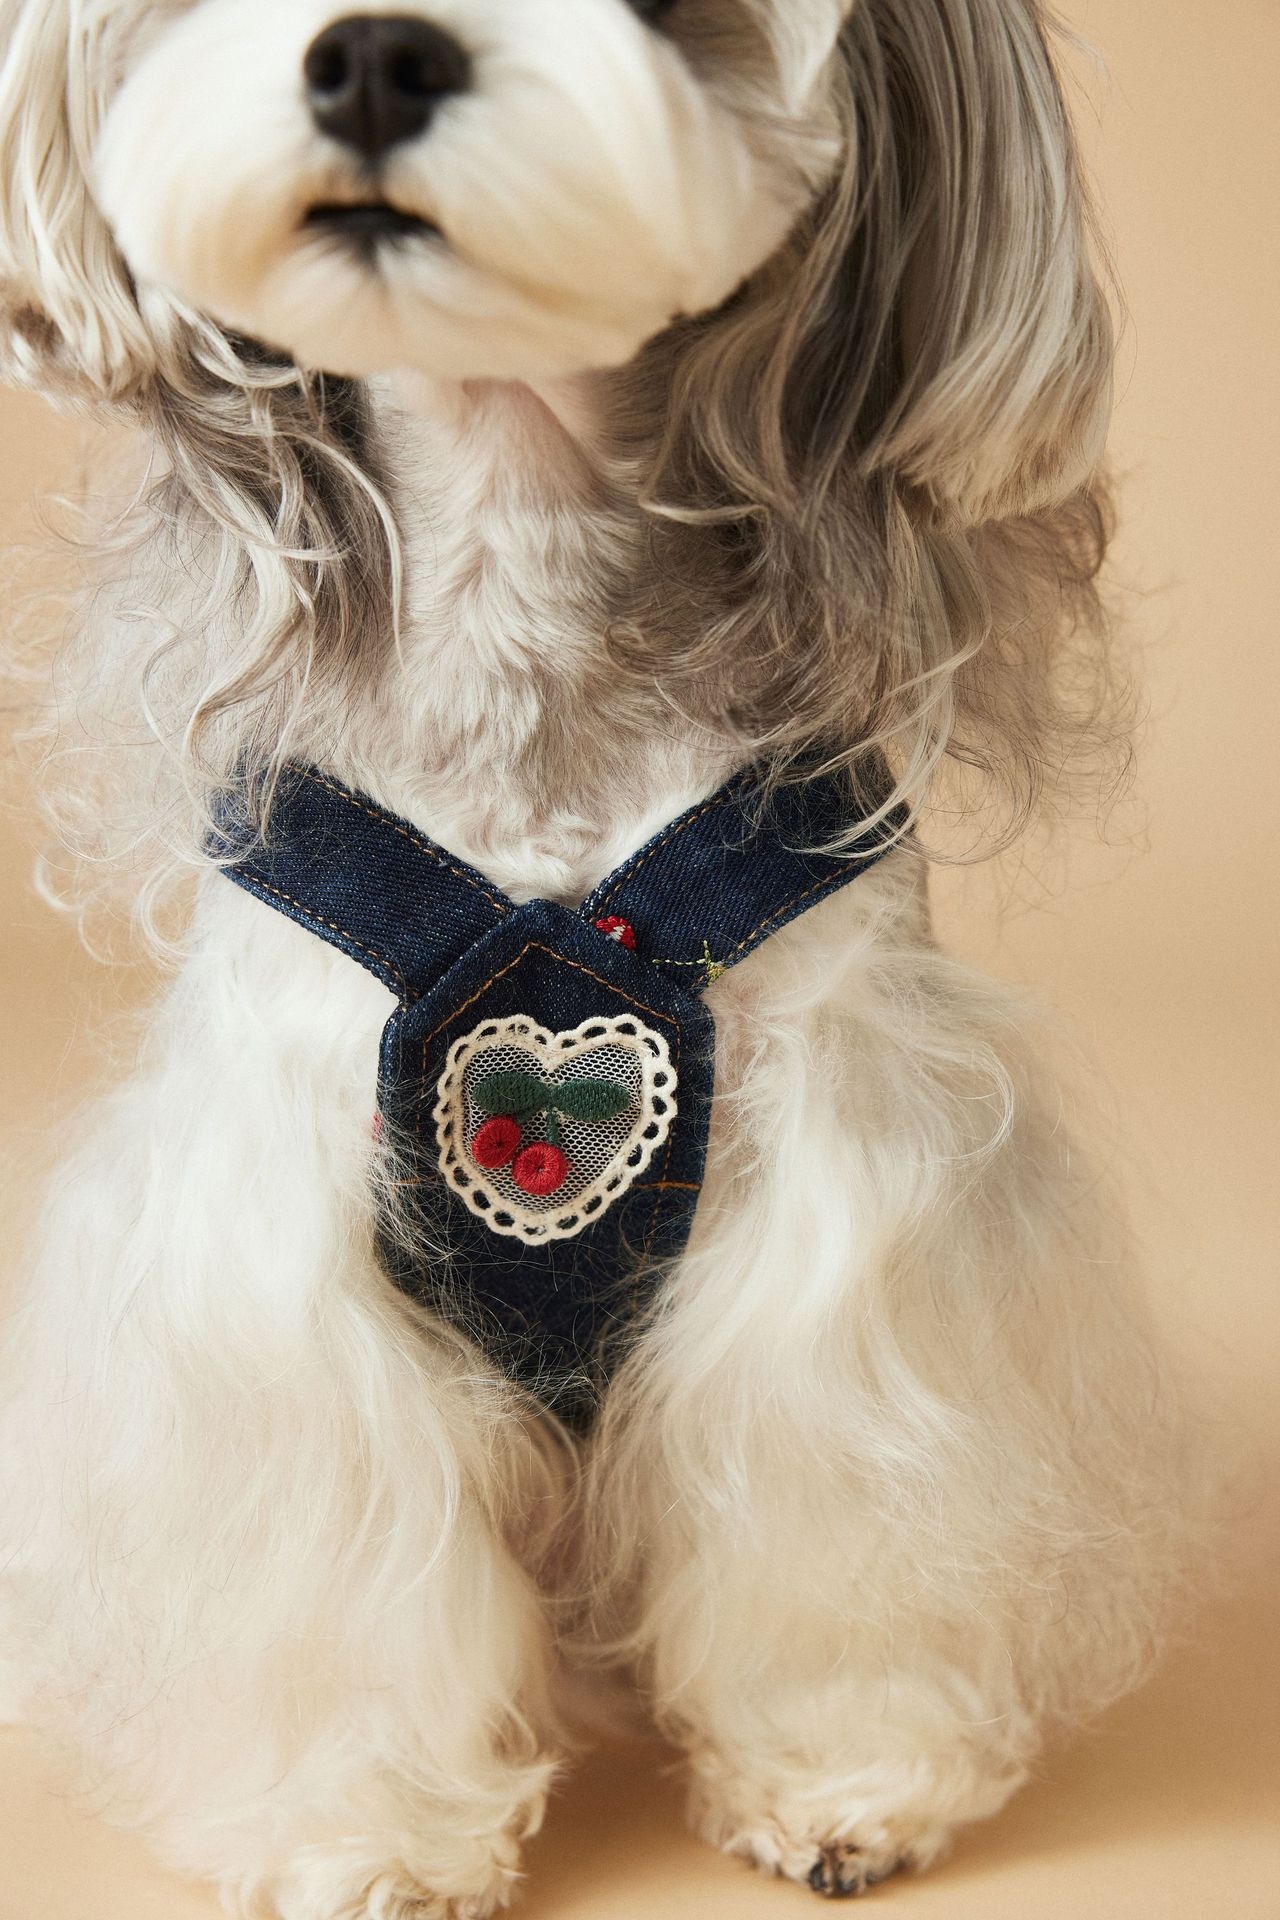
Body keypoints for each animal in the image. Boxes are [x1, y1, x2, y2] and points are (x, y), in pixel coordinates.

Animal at [0, 1, 1187, 1914]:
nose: (373, 57)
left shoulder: (838, 1213)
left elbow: (824, 1505)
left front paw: (845, 1775)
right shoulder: (293, 1243)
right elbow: (346, 1551)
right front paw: (365, 1828)